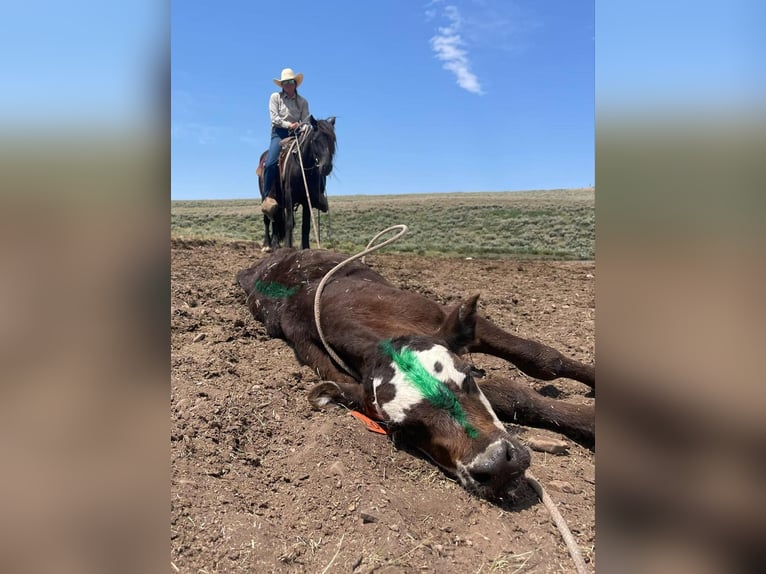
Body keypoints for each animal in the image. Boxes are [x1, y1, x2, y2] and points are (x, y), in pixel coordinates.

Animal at [258, 115, 336, 250]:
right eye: (315, 140)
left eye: (333, 139)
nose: (326, 167)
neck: (302, 166)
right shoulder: (290, 195)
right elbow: (289, 222)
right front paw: (287, 247)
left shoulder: (308, 199)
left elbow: (306, 225)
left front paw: (305, 248)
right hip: (265, 196)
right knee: (268, 218)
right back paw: (267, 245)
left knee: (276, 218)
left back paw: (276, 244)